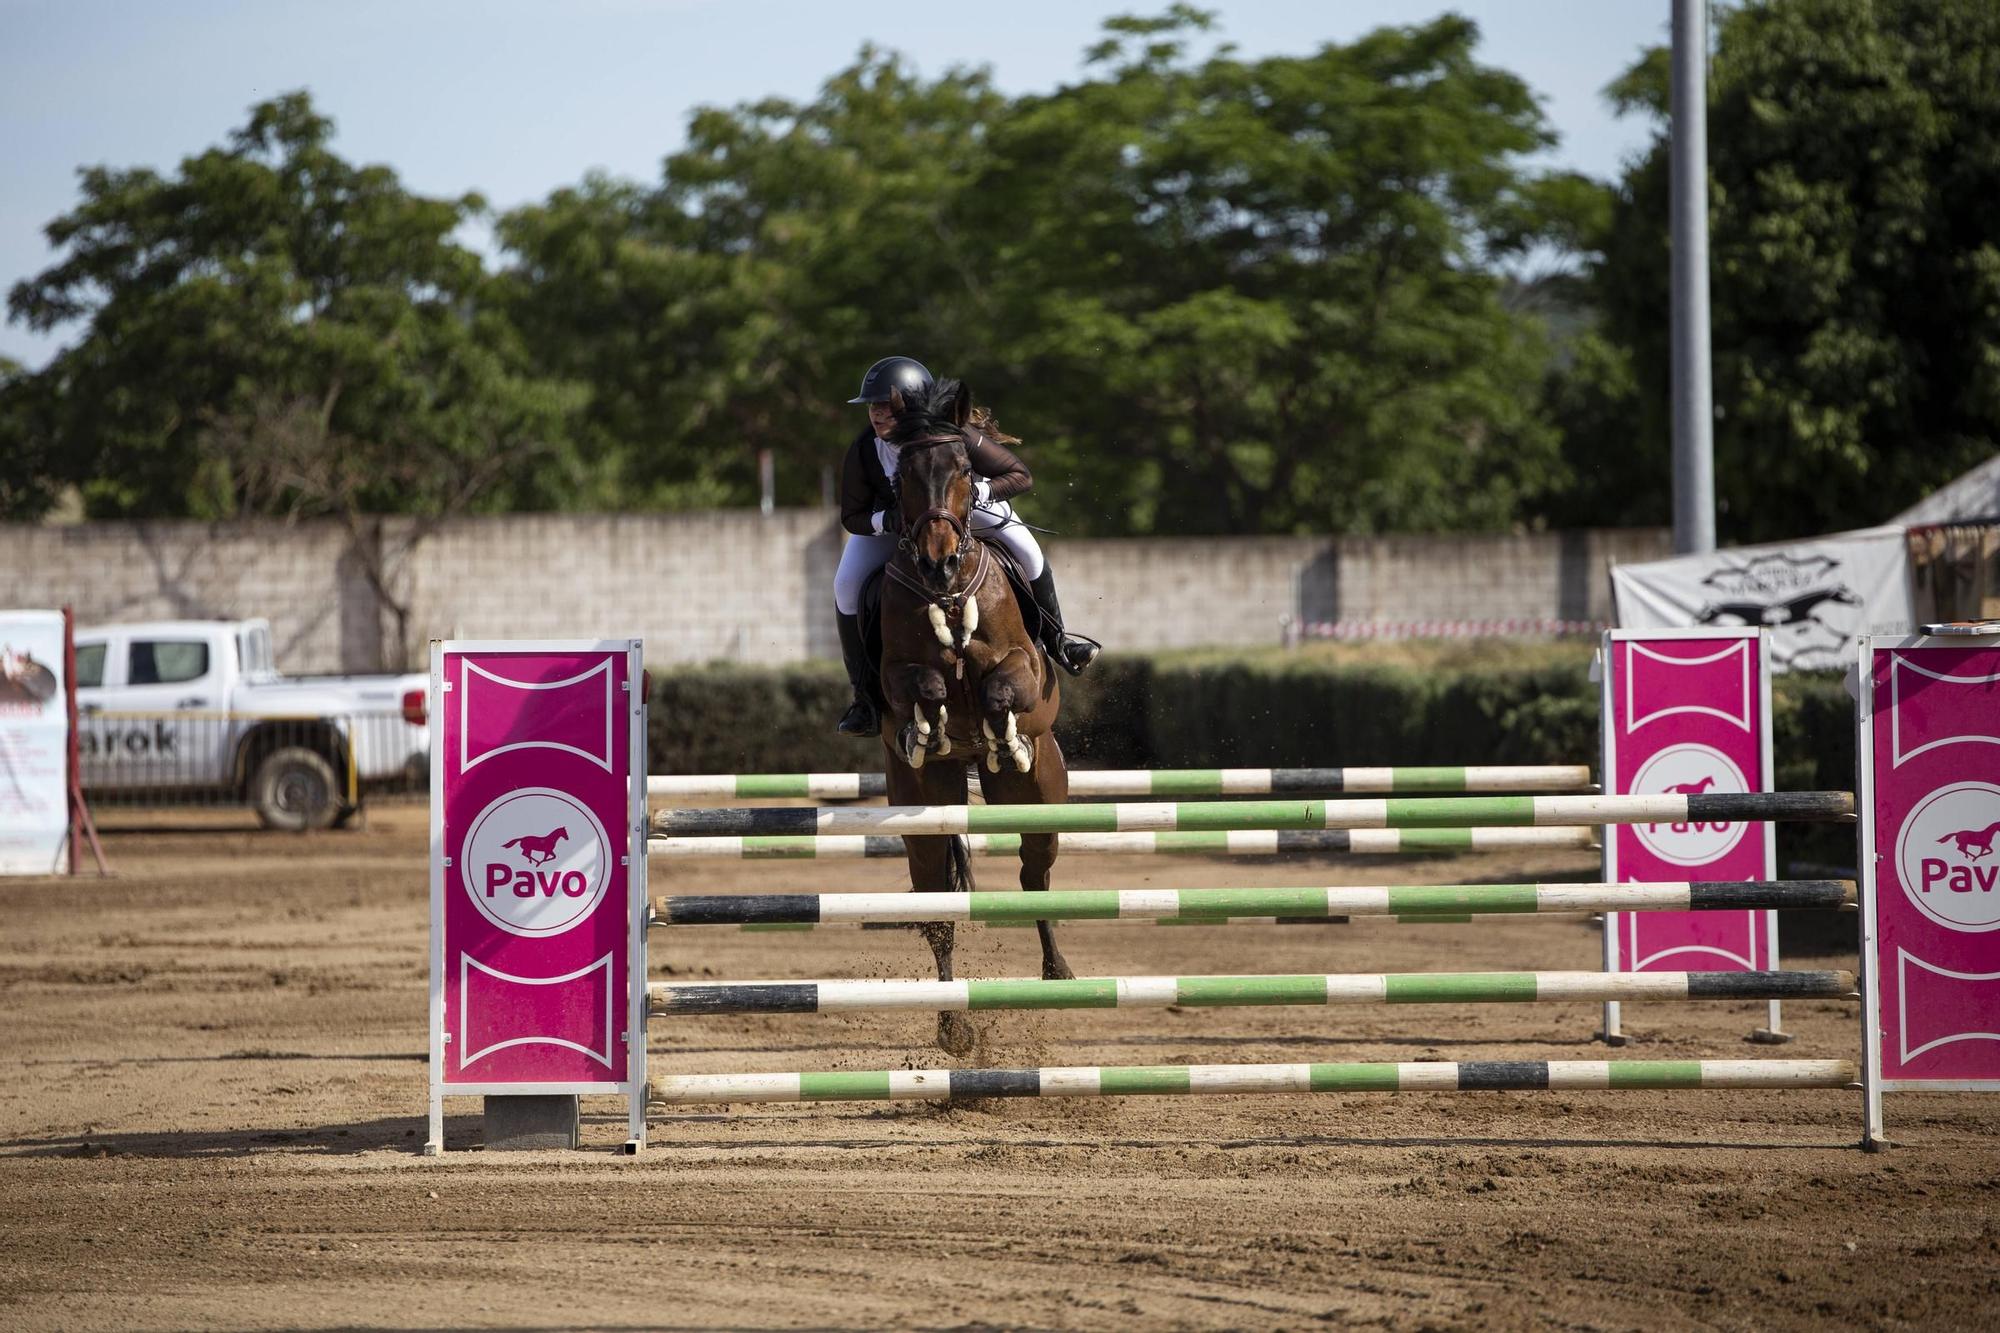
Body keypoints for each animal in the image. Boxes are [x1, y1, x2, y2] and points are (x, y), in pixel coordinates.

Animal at [868, 370, 1072, 1048]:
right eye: (901, 477)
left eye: (965, 468)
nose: (939, 560)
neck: (949, 596)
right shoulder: (893, 677)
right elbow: (924, 687)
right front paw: (929, 726)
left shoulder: (1026, 668)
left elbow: (1002, 686)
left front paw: (999, 727)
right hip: (922, 810)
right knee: (938, 909)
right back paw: (953, 1026)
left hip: (1040, 797)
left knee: (1035, 879)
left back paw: (1058, 974)